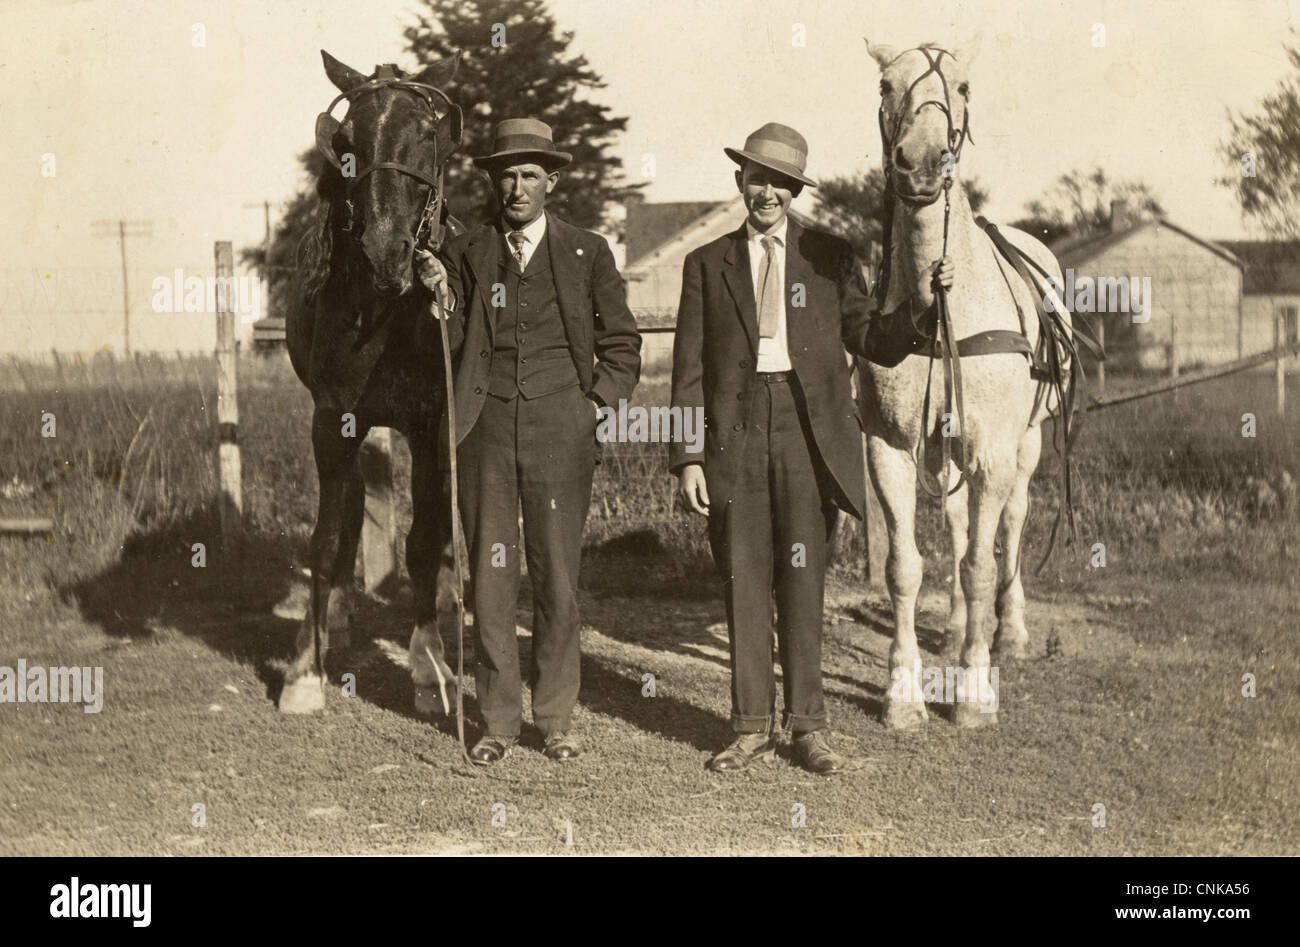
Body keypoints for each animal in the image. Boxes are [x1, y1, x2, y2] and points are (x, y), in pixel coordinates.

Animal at [282, 51, 465, 712]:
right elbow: (326, 536)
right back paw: (331, 617)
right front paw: (304, 670)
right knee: (351, 508)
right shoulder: (332, 419)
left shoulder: (434, 425)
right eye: (345, 142)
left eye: (429, 134)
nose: (386, 250)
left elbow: (423, 541)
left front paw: (429, 666)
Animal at [863, 40, 1076, 728]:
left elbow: (983, 565)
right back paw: (958, 631)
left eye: (961, 86)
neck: (937, 306)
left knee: (1010, 525)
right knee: (958, 527)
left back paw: (1008, 632)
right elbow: (905, 567)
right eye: (885, 84)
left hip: (1026, 446)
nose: (922, 163)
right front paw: (903, 695)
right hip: (947, 448)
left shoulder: (993, 451)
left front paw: (977, 691)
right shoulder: (890, 447)